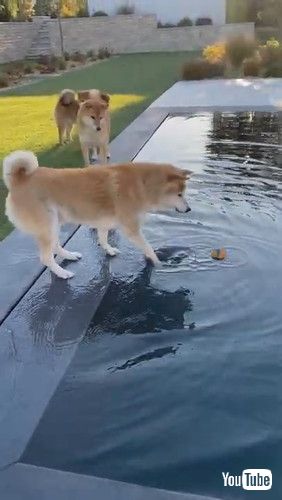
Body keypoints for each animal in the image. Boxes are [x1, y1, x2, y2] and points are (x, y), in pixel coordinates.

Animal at [2, 150, 192, 280]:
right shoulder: (131, 227)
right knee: (46, 258)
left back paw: (70, 256)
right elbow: (147, 246)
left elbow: (103, 238)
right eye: (179, 194)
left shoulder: (105, 222)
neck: (142, 184)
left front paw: (109, 250)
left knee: (55, 247)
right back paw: (62, 273)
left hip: (54, 224)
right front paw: (158, 263)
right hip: (48, 225)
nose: (189, 209)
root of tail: (20, 180)